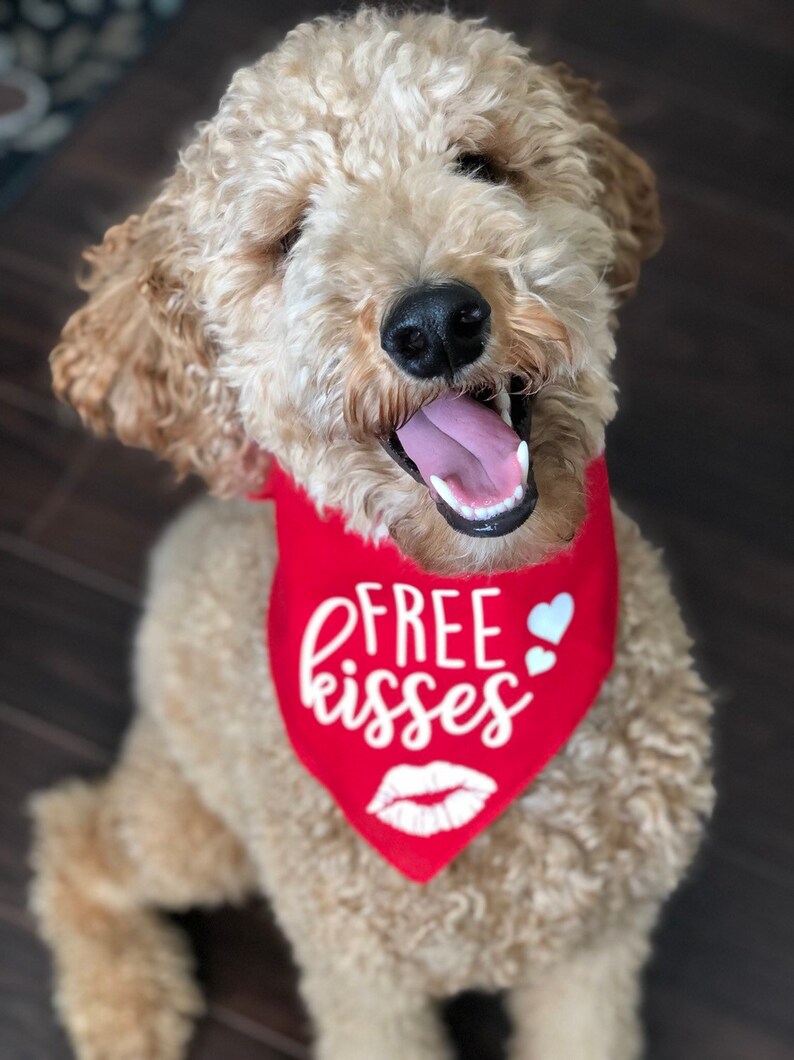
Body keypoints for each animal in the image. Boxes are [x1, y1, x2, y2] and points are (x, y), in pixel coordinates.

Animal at [29, 10, 712, 1060]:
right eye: (287, 237)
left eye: (479, 164)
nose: (435, 322)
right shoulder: (361, 977)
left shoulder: (599, 944)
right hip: (193, 829)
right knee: (75, 831)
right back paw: (126, 1003)